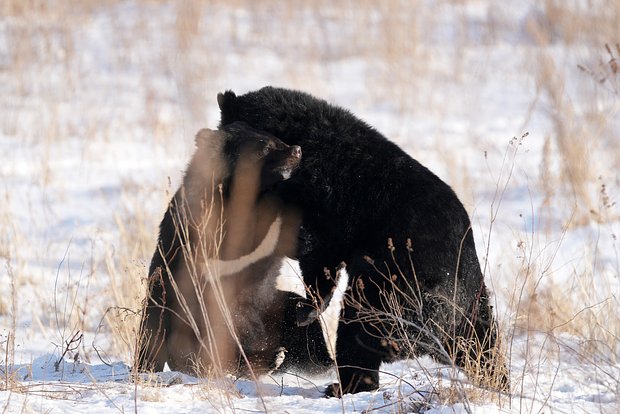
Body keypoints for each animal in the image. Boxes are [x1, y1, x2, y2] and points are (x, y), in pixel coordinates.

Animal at [218, 86, 508, 394]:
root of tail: (446, 315)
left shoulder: (321, 199)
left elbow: (318, 248)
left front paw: (306, 309)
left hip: (392, 290)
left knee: (359, 330)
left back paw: (344, 385)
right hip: (475, 305)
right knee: (483, 347)